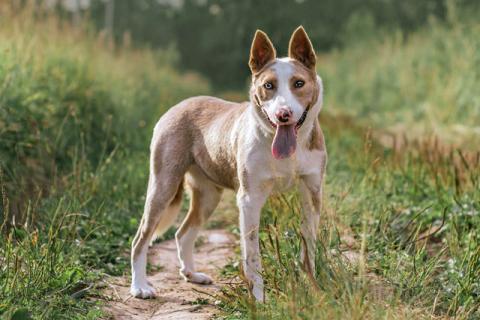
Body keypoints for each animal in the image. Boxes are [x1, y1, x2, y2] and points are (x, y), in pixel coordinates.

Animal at [130, 26, 326, 302]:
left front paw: (313, 290)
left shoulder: (312, 194)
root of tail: (179, 105)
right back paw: (140, 286)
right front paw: (258, 299)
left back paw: (192, 274)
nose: (283, 115)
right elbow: (252, 257)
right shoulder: (249, 200)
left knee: (183, 233)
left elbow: (309, 249)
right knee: (140, 238)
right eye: (268, 86)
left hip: (208, 196)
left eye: (299, 83)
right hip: (163, 186)